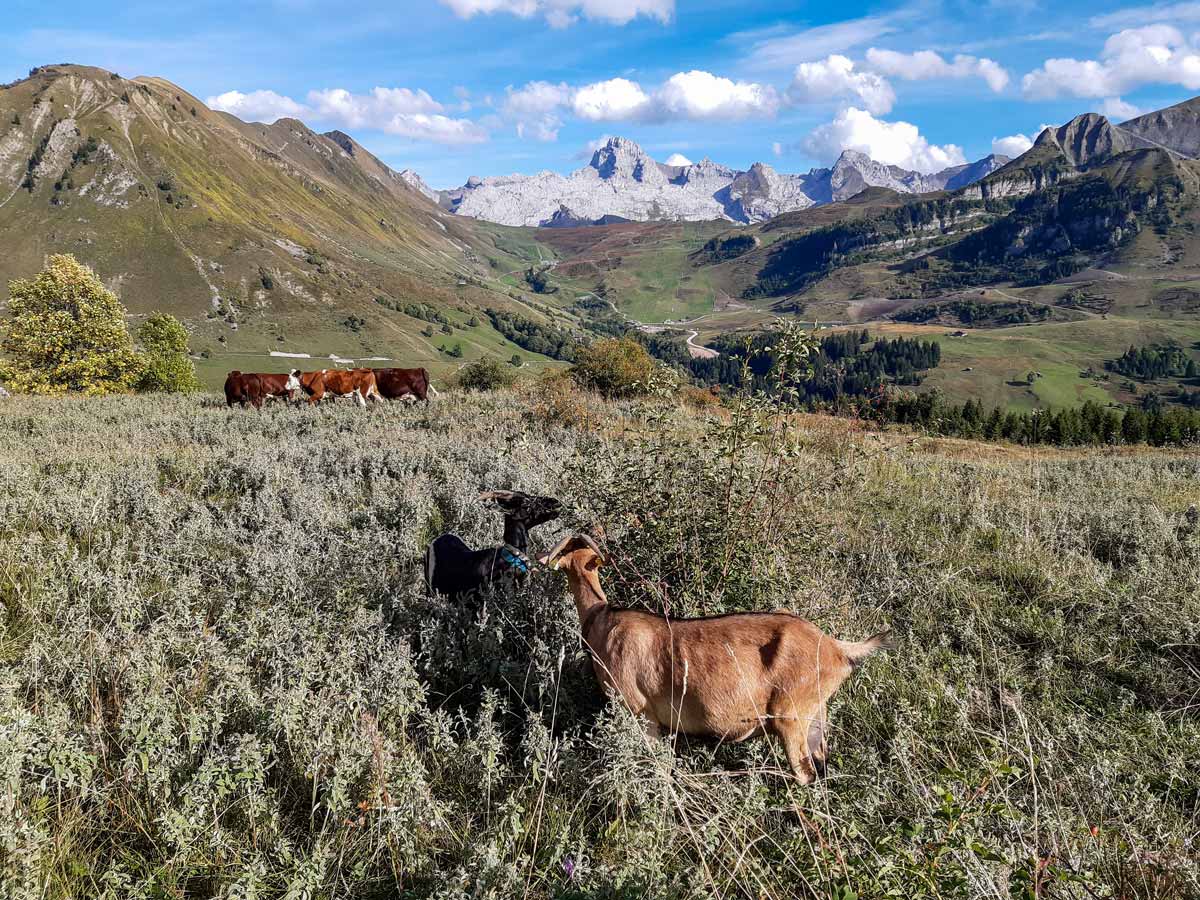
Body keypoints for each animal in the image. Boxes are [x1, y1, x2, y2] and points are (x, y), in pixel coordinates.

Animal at [542, 535, 892, 782]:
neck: (603, 620)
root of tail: (836, 647)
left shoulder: (643, 715)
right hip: (817, 717)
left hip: (791, 718)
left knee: (804, 773)